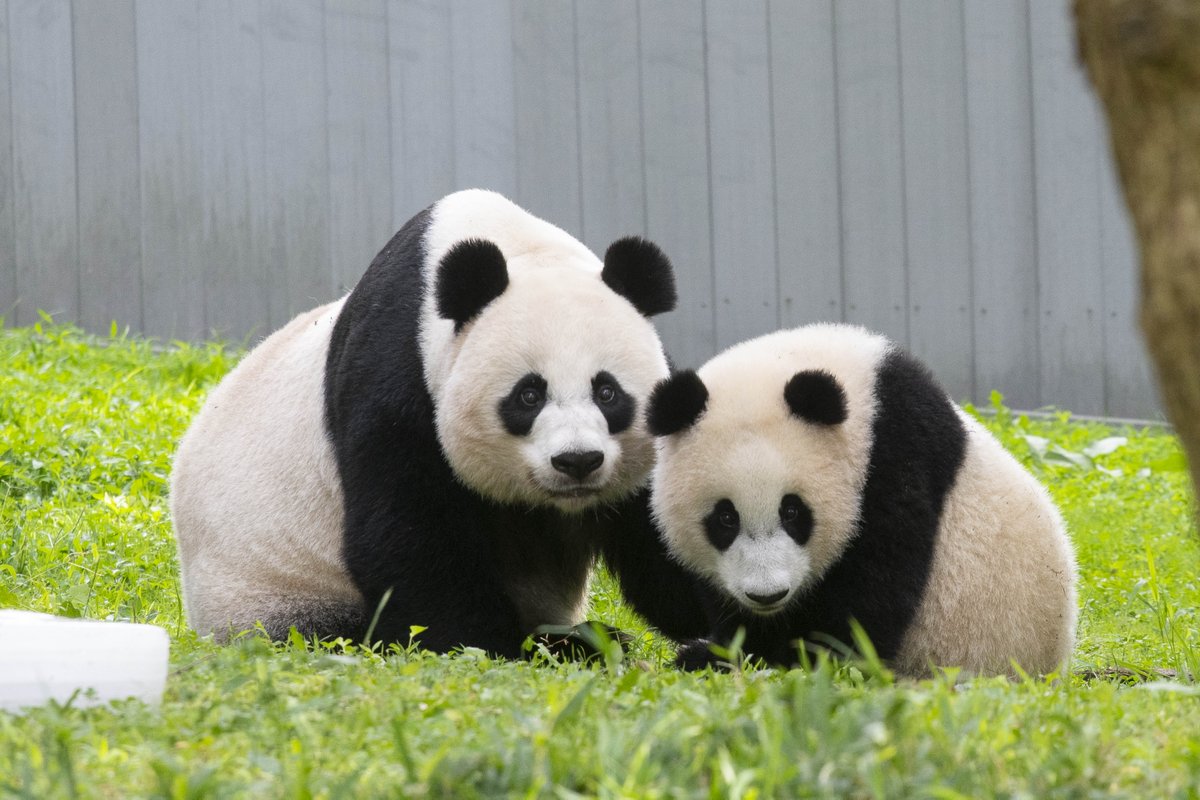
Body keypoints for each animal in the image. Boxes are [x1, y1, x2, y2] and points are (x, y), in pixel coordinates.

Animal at [170, 189, 707, 657]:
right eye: (529, 395)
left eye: (608, 392)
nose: (577, 461)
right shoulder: (398, 376)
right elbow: (408, 534)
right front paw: (498, 648)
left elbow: (664, 530)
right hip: (270, 593)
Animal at [642, 323, 1078, 676]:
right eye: (725, 519)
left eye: (793, 511)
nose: (767, 595)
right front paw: (729, 649)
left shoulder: (896, 450)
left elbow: (872, 595)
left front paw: (786, 657)